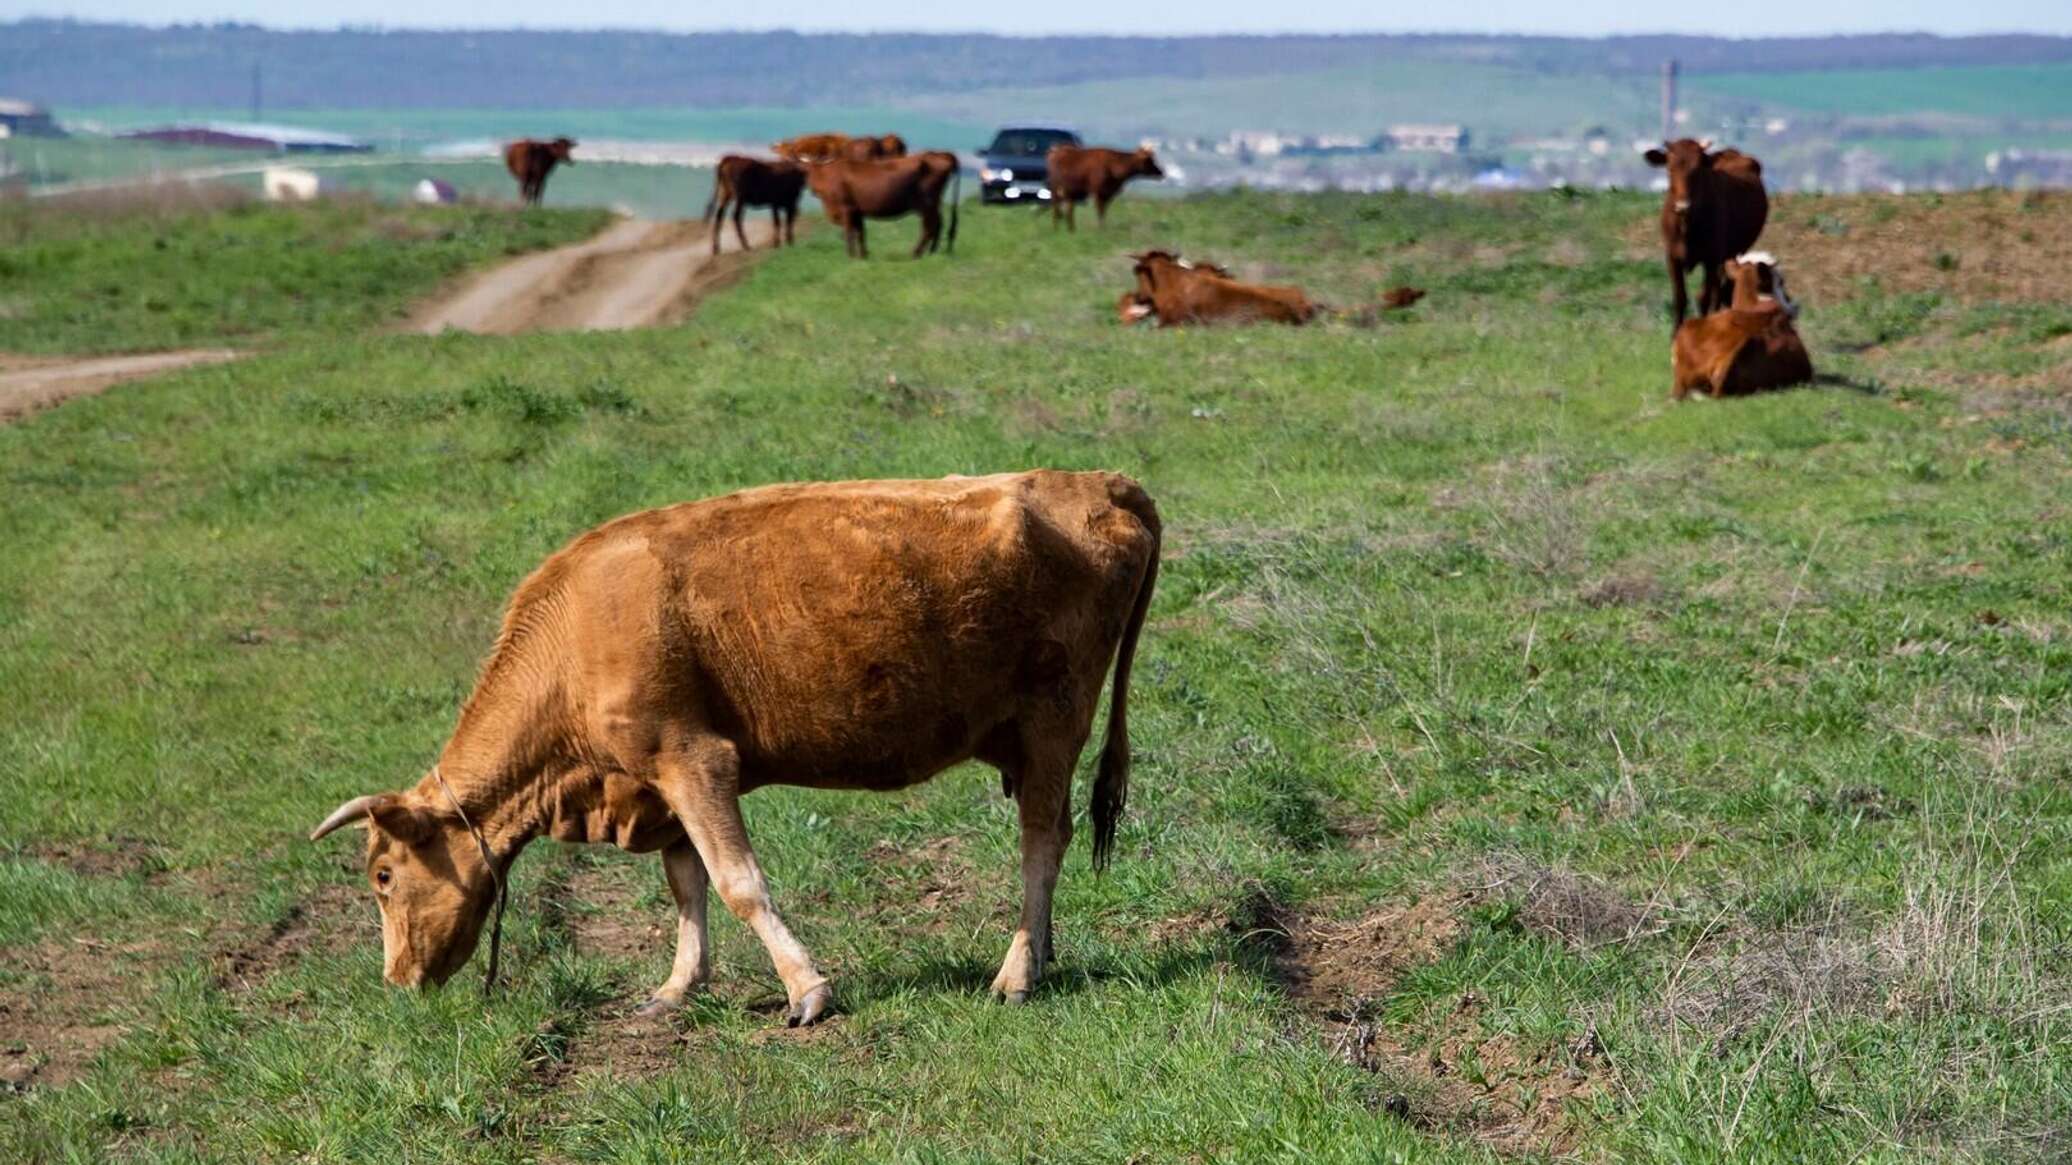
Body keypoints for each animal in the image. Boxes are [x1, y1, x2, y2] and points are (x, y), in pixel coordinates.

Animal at [302, 466, 1168, 1019]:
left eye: (383, 875)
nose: (397, 980)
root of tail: (1096, 479)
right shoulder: (656, 781)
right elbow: (685, 883)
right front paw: (676, 988)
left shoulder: (695, 758)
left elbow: (736, 881)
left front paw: (806, 990)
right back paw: (1043, 956)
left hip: (1053, 720)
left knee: (1041, 839)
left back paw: (1017, 971)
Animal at [812, 150, 965, 257]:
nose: (813, 190)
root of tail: (939, 154)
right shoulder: (857, 212)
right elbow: (860, 232)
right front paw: (863, 256)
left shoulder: (847, 209)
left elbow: (849, 232)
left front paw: (851, 256)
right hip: (933, 203)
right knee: (938, 224)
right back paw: (931, 252)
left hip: (927, 204)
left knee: (929, 227)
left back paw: (916, 253)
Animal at [1641, 141, 1773, 331]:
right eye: (1669, 168)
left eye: (1697, 170)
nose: (1683, 206)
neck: (1686, 228)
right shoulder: (1672, 257)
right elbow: (1679, 297)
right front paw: (1675, 333)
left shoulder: (1710, 259)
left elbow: (1703, 297)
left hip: (1731, 253)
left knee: (1720, 291)